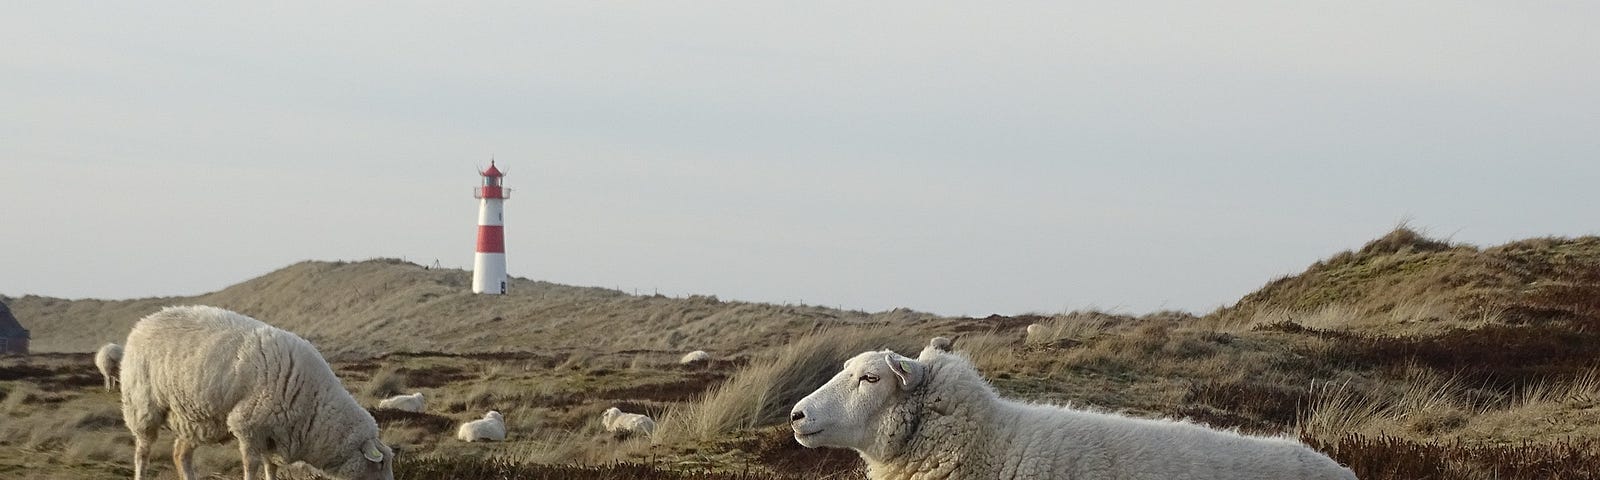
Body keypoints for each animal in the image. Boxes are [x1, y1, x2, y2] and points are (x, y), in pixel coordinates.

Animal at [119, 305, 393, 480]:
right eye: (380, 465)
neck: (314, 405)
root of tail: (143, 322)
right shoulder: (248, 426)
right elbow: (252, 466)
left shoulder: (273, 434)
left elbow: (271, 467)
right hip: (142, 405)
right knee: (142, 452)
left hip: (194, 418)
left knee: (180, 455)